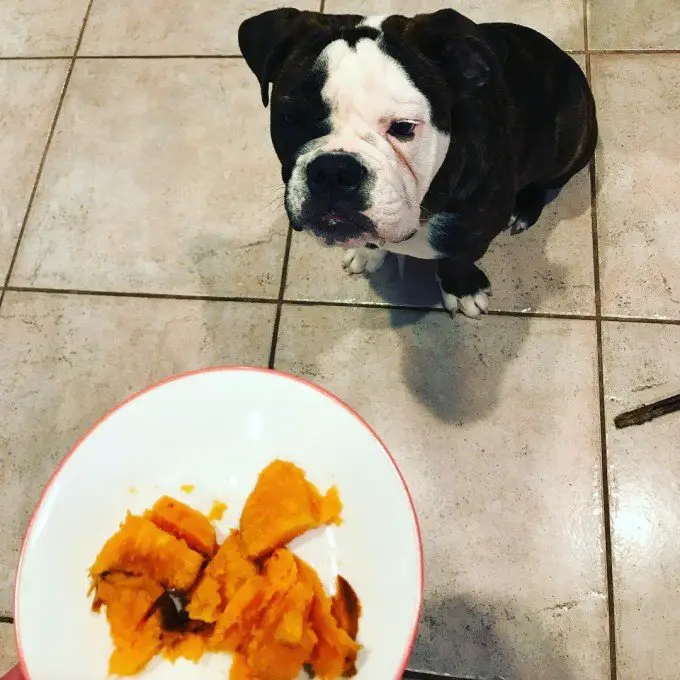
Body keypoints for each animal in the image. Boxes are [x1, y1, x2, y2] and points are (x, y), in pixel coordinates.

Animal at [238, 8, 596, 316]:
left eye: (403, 127)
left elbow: (458, 259)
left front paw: (462, 290)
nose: (333, 171)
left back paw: (523, 210)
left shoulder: (476, 232)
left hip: (571, 143)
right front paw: (367, 251)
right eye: (290, 118)